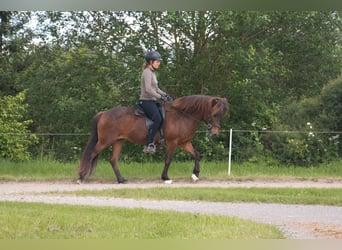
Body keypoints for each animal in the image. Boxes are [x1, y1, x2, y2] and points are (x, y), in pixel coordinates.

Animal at [76, 94, 228, 184]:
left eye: (221, 115)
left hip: (119, 141)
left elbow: (196, 155)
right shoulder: (172, 143)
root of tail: (104, 113)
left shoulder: (184, 143)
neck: (182, 116)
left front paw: (195, 175)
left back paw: (121, 179)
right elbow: (168, 159)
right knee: (92, 154)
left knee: (113, 159)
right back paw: (81, 177)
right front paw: (165, 177)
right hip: (104, 141)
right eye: (214, 114)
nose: (215, 134)